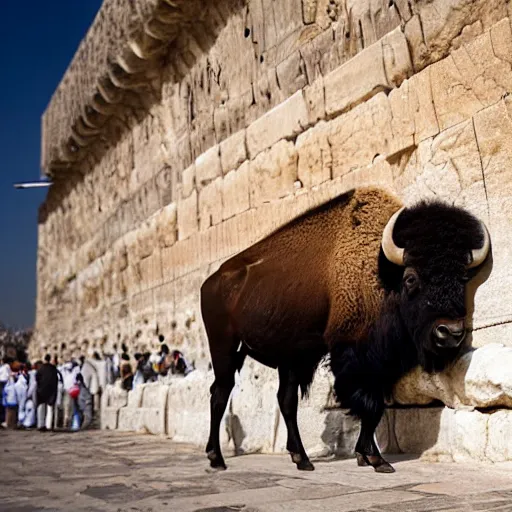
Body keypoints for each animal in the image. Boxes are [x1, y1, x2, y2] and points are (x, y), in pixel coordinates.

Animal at [201, 187, 492, 472]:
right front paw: (376, 459)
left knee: (285, 400)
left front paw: (365, 456)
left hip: (288, 359)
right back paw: (217, 459)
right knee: (220, 394)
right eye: (411, 278)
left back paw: (301, 459)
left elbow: (373, 407)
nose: (450, 333)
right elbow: (370, 406)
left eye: (462, 278)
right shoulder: (352, 355)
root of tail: (210, 282)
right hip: (225, 349)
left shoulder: (378, 364)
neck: (382, 271)